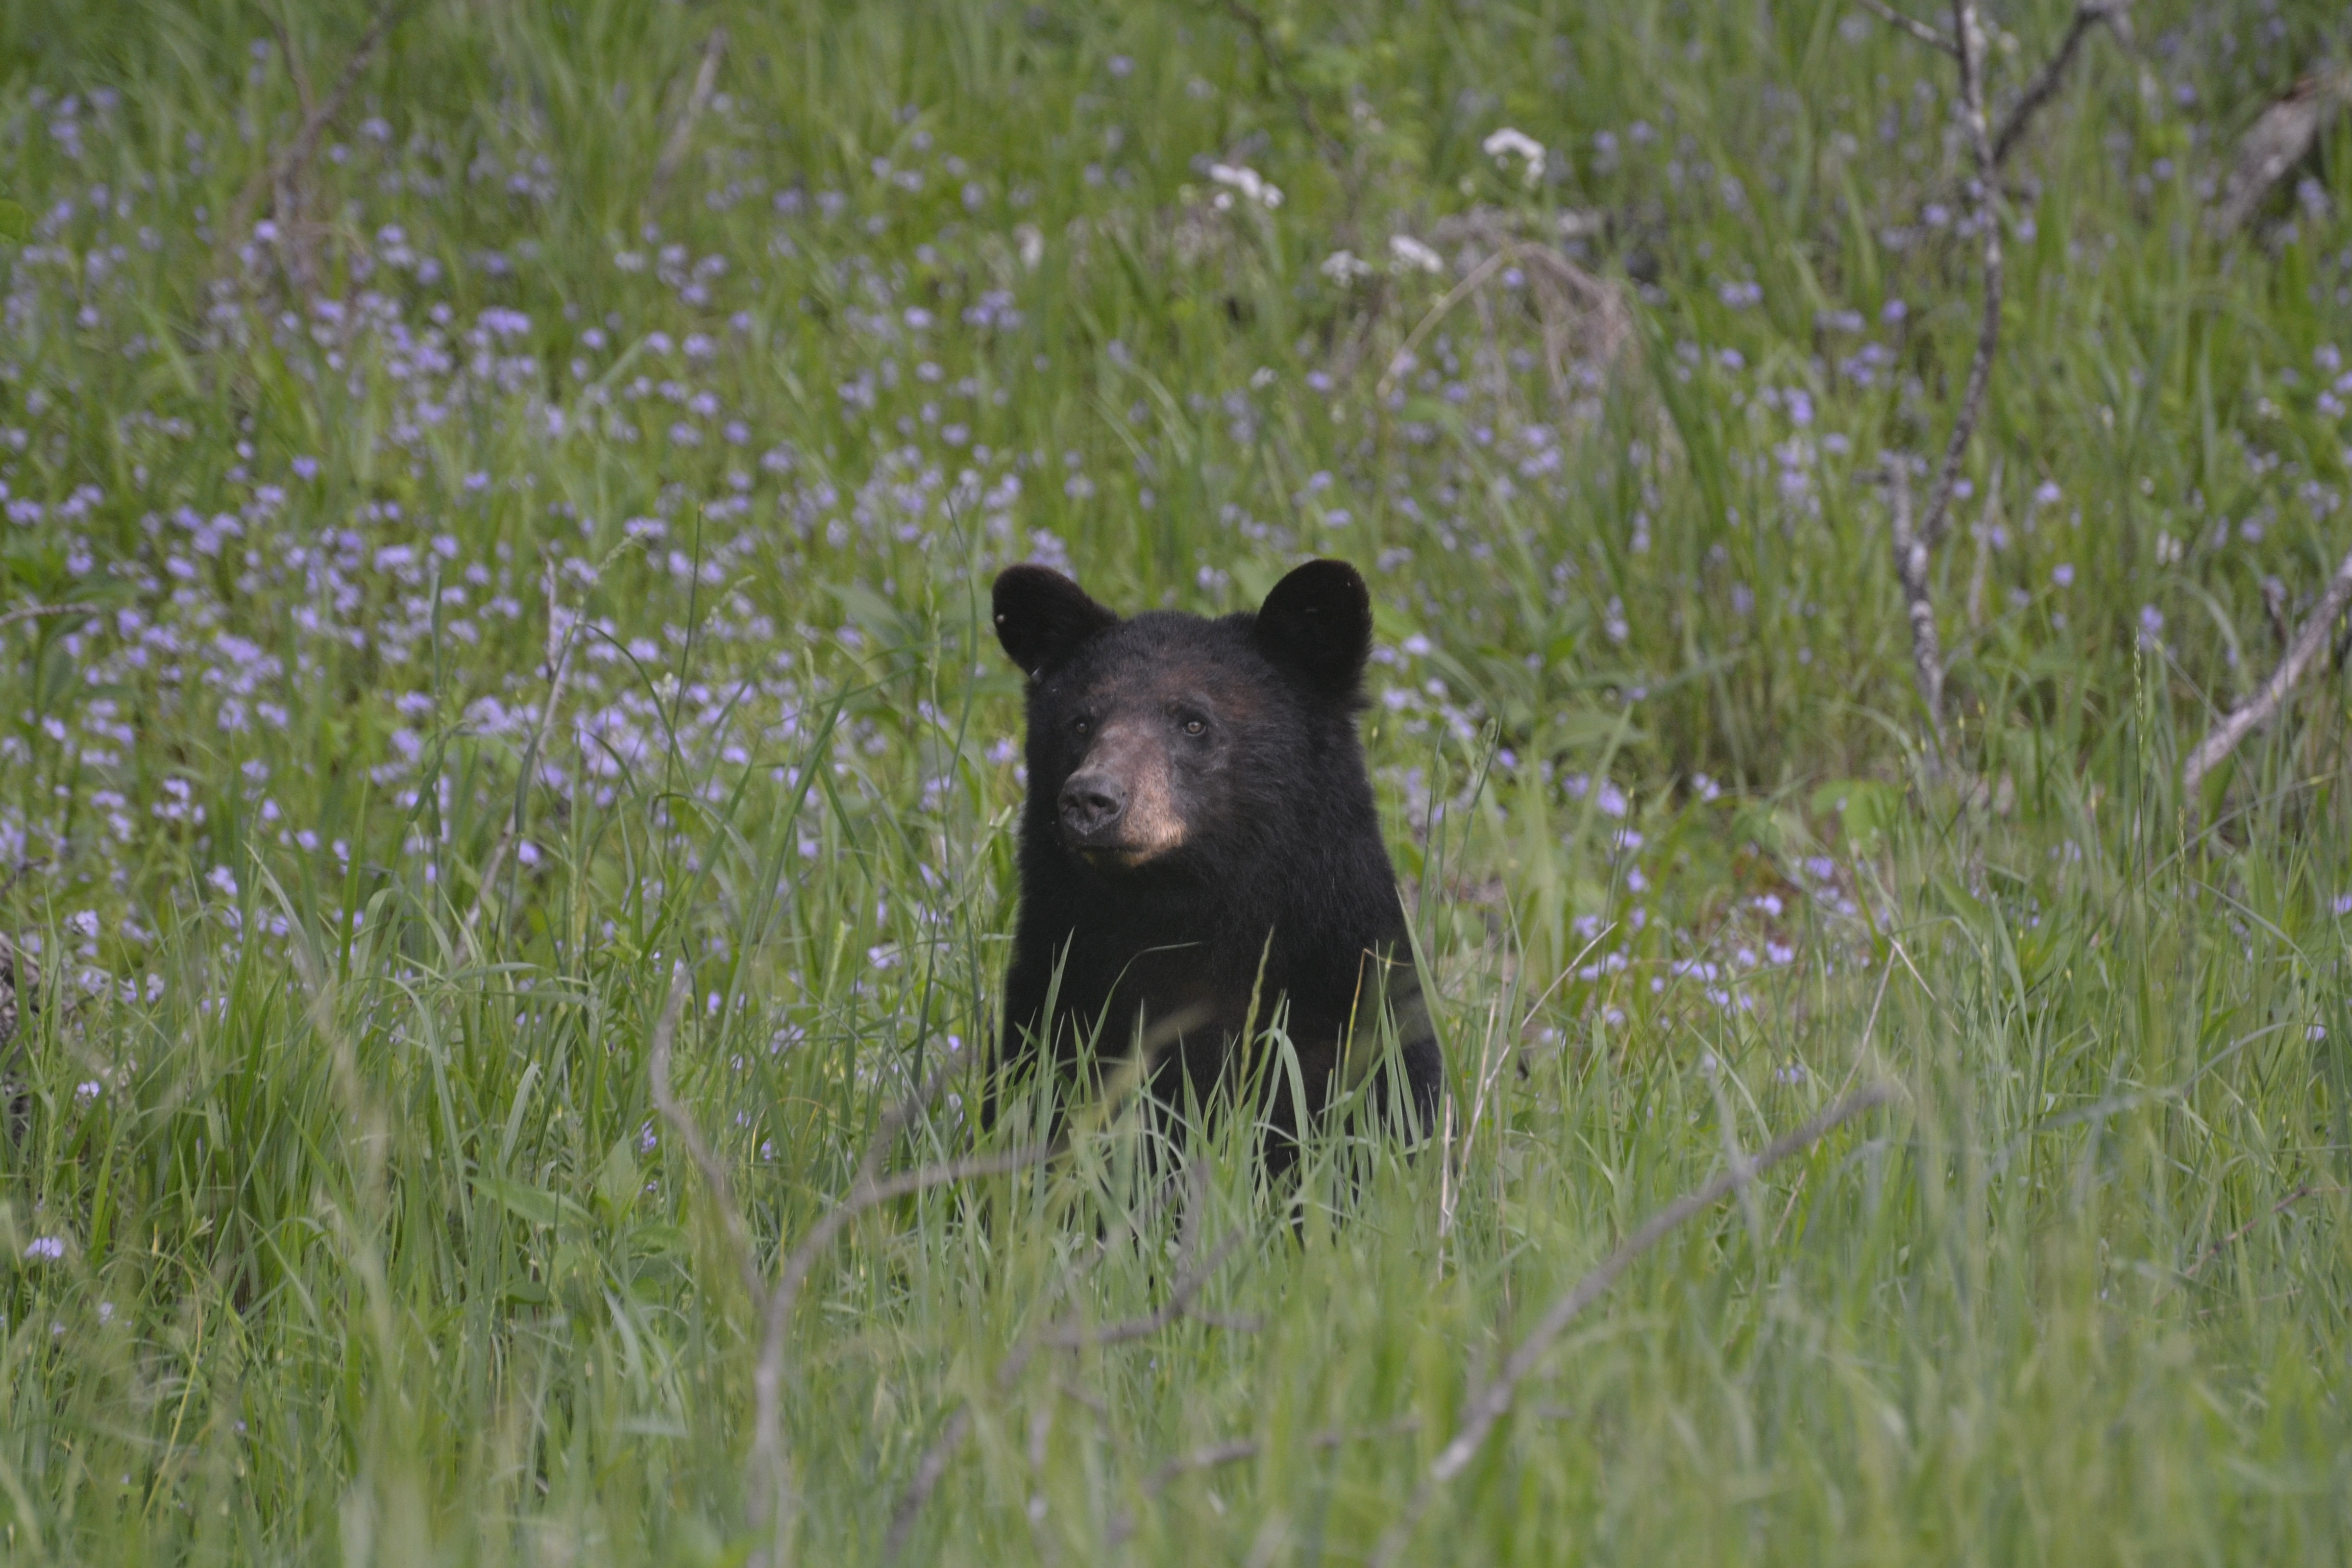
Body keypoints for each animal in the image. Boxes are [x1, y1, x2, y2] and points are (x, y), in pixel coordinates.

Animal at [986, 557, 1443, 1173]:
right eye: (1080, 722)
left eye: (1194, 722)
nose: (1091, 799)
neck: (1182, 916)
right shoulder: (1056, 1007)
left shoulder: (1354, 1020)